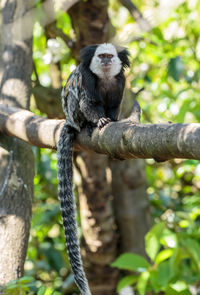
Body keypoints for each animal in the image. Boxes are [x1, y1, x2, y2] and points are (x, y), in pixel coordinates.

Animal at [57, 42, 130, 295]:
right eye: (101, 56)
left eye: (110, 56)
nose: (106, 60)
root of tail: (68, 122)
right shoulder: (87, 78)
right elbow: (88, 102)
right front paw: (98, 121)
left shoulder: (120, 81)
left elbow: (114, 105)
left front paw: (112, 119)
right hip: (72, 114)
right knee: (76, 100)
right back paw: (87, 125)